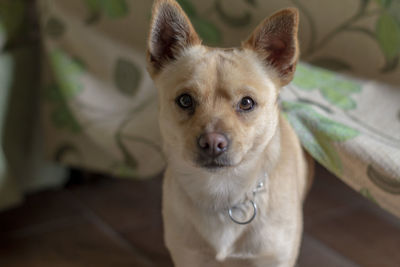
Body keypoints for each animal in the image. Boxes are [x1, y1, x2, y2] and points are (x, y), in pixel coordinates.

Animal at [146, 1, 312, 266]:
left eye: (247, 103)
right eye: (185, 100)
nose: (213, 142)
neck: (222, 192)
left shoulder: (274, 258)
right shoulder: (187, 256)